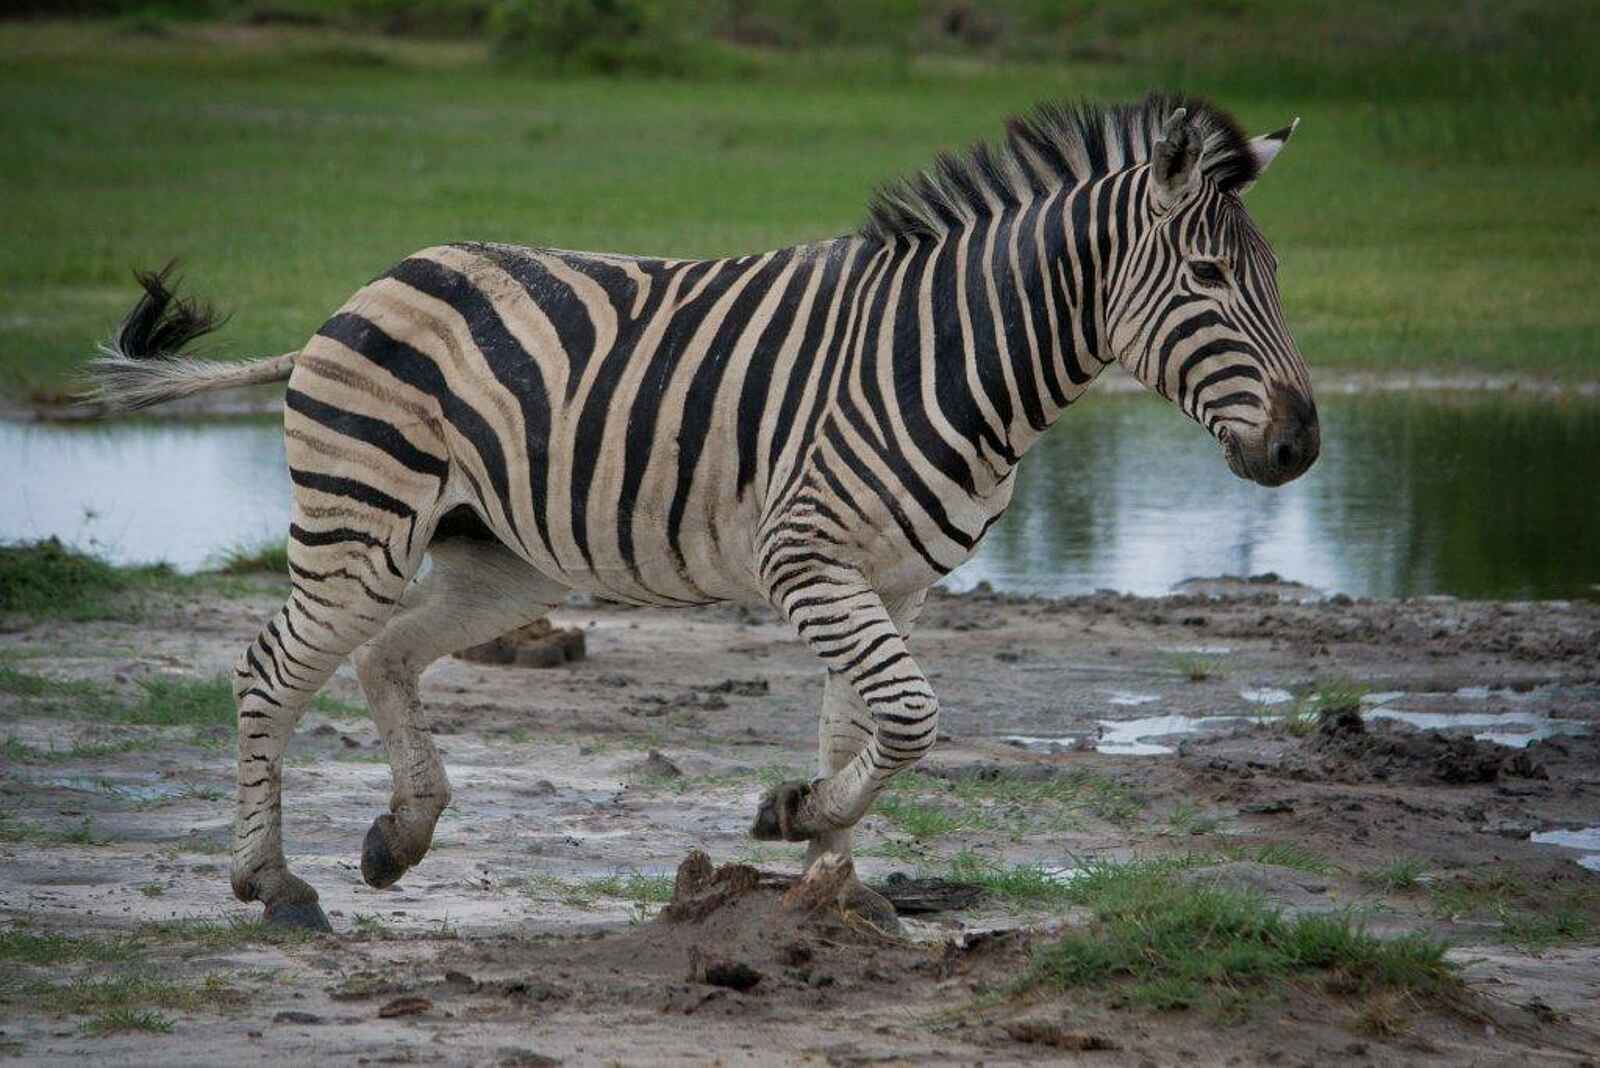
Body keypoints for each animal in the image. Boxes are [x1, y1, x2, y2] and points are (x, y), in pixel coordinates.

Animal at [82, 93, 1318, 931]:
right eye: (1210, 281)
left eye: (1275, 278)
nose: (1301, 445)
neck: (954, 359)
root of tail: (358, 293)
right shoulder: (803, 557)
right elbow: (911, 718)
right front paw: (797, 819)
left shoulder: (894, 582)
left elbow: (864, 725)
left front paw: (831, 876)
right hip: (361, 525)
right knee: (269, 670)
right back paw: (272, 882)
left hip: (502, 559)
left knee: (384, 656)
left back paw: (401, 833)